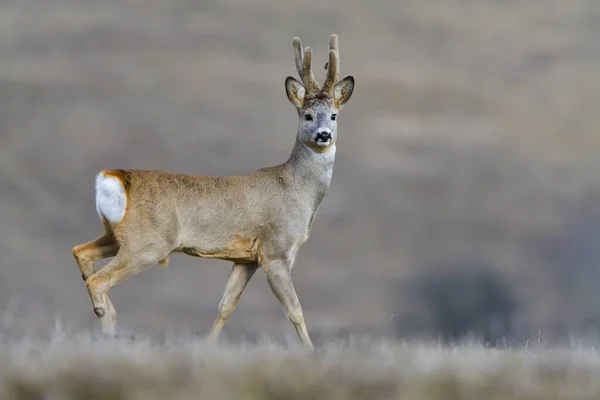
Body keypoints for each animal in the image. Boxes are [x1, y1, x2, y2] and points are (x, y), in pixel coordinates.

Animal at [75, 34, 356, 346]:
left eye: (333, 115)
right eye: (307, 115)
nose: (324, 135)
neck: (297, 189)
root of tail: (113, 178)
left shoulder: (246, 258)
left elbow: (226, 305)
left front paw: (207, 346)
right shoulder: (276, 250)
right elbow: (295, 310)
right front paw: (311, 351)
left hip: (119, 236)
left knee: (81, 253)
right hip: (147, 243)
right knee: (98, 281)